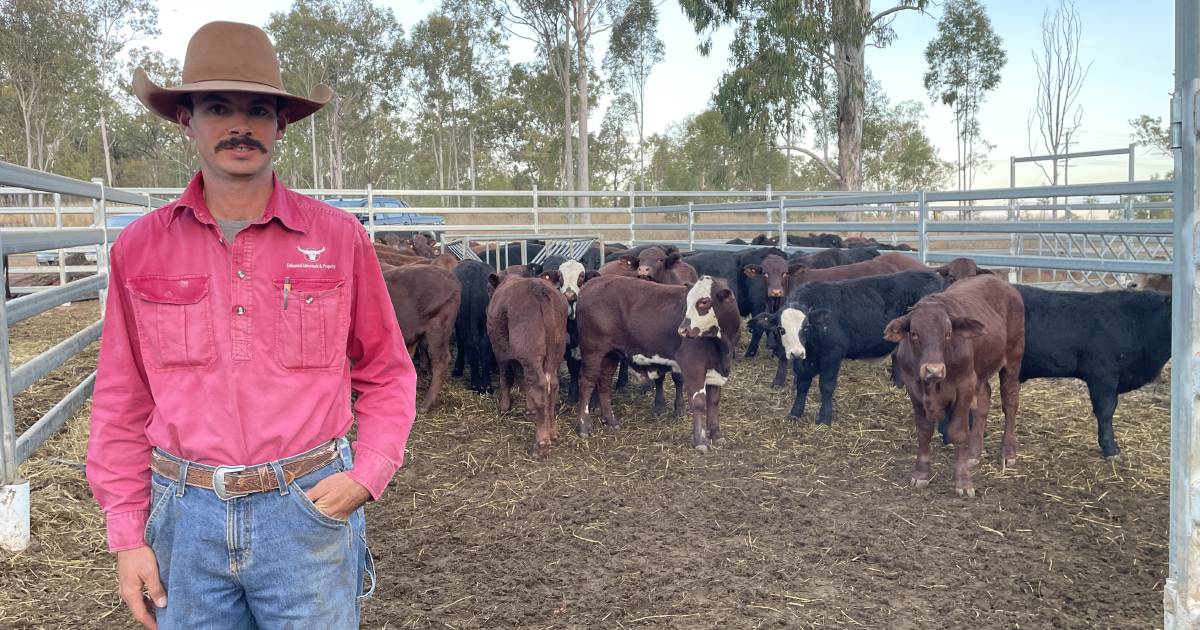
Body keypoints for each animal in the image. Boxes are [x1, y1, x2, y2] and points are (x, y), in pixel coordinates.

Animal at [484, 272, 568, 453]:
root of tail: (539, 289)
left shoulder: (500, 350)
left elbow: (506, 378)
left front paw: (504, 406)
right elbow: (522, 379)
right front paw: (529, 409)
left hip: (529, 352)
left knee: (539, 385)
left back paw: (541, 443)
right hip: (556, 353)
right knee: (552, 385)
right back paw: (552, 432)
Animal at [758, 268, 945, 422]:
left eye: (806, 327)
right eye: (781, 329)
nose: (796, 353)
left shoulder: (832, 356)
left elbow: (826, 386)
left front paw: (825, 418)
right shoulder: (804, 360)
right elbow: (802, 385)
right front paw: (795, 413)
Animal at [883, 273, 1022, 496]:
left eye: (948, 333)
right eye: (914, 333)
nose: (933, 370)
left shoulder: (964, 386)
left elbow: (958, 432)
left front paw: (963, 481)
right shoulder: (913, 387)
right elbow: (924, 430)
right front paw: (920, 474)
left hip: (1012, 360)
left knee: (1010, 402)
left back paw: (1008, 452)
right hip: (980, 372)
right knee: (984, 400)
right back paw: (974, 453)